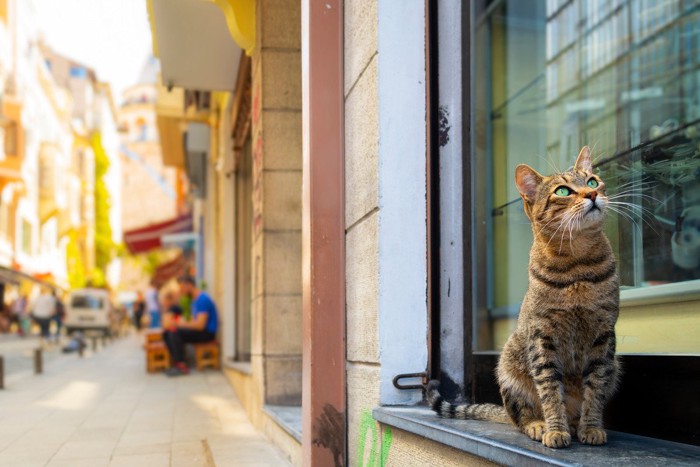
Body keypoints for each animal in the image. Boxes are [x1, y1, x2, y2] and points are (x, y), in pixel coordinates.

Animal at [426, 147, 616, 450]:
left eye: (592, 181)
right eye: (563, 191)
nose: (592, 194)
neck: (577, 262)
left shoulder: (604, 334)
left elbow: (595, 387)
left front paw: (591, 427)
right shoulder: (541, 335)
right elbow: (550, 390)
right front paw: (555, 429)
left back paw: (576, 425)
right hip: (508, 368)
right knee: (521, 417)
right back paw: (539, 425)